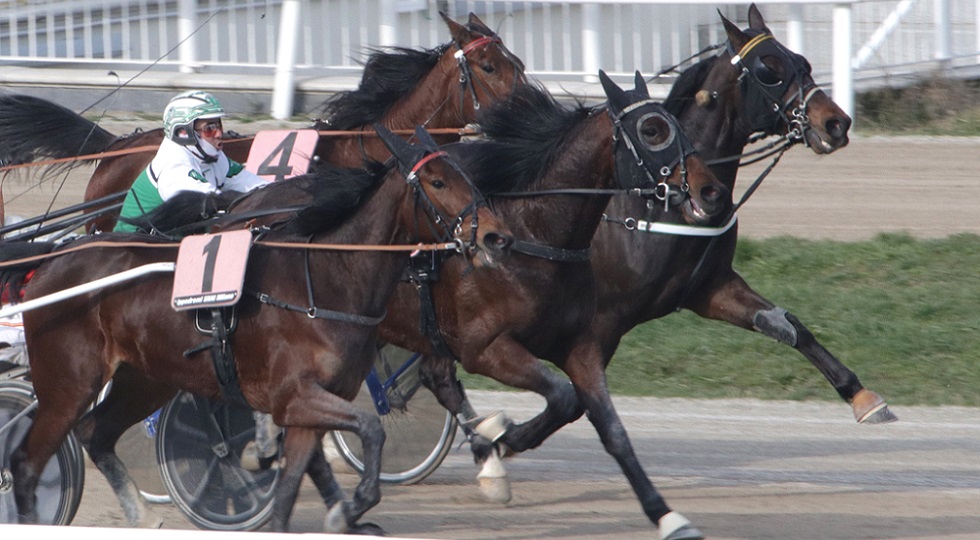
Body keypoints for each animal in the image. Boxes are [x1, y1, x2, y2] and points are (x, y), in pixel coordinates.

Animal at [1, 125, 512, 533]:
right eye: (437, 181)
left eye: (468, 177)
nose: (495, 236)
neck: (322, 282)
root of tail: (50, 260)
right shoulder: (294, 396)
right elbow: (371, 427)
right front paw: (353, 505)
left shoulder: (312, 406)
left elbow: (290, 492)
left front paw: (343, 512)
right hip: (70, 382)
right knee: (26, 463)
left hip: (144, 379)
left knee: (95, 433)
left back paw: (141, 516)